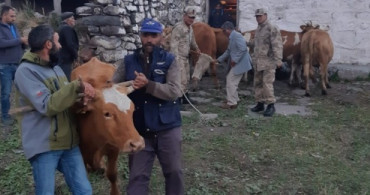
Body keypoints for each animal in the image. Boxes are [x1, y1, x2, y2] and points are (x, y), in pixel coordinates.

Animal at [70, 57, 145, 195]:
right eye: (107, 113)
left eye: (132, 109)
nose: (137, 144)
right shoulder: (81, 153)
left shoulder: (113, 149)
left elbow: (112, 174)